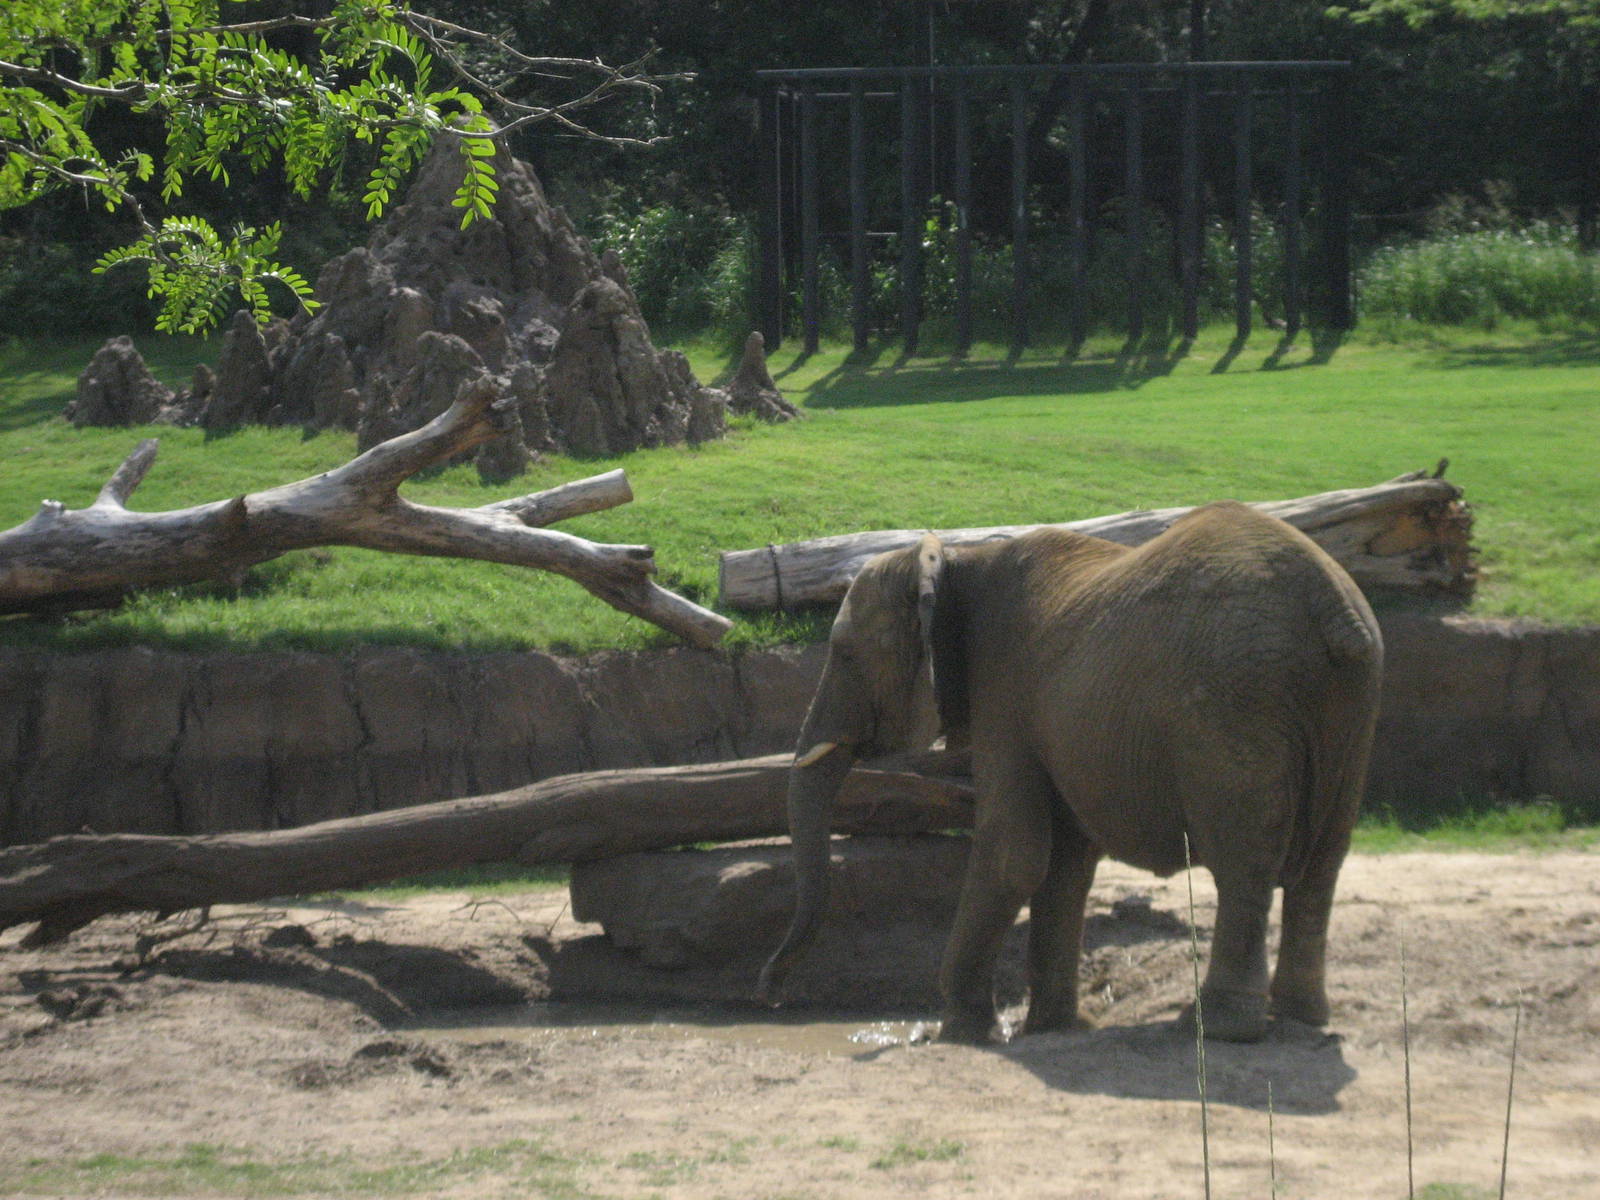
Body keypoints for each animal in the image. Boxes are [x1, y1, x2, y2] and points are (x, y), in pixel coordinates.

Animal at [757, 501, 1383, 1045]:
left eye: (844, 654)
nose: (772, 992)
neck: (955, 558)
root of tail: (1333, 607)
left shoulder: (1004, 691)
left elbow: (1013, 852)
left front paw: (955, 1033)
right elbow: (1065, 864)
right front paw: (1050, 1029)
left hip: (1236, 702)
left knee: (1243, 862)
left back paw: (1216, 1027)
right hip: (1352, 707)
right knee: (1322, 864)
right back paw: (1300, 1018)